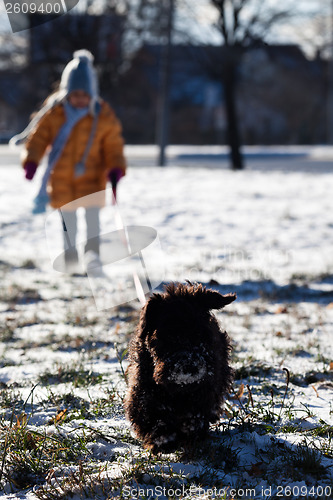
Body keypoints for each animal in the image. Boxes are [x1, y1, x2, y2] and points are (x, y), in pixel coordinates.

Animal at [124, 282, 236, 454]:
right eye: (167, 336)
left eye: (200, 334)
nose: (189, 367)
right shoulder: (143, 391)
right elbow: (153, 414)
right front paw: (163, 440)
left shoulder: (205, 388)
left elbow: (195, 414)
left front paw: (191, 434)